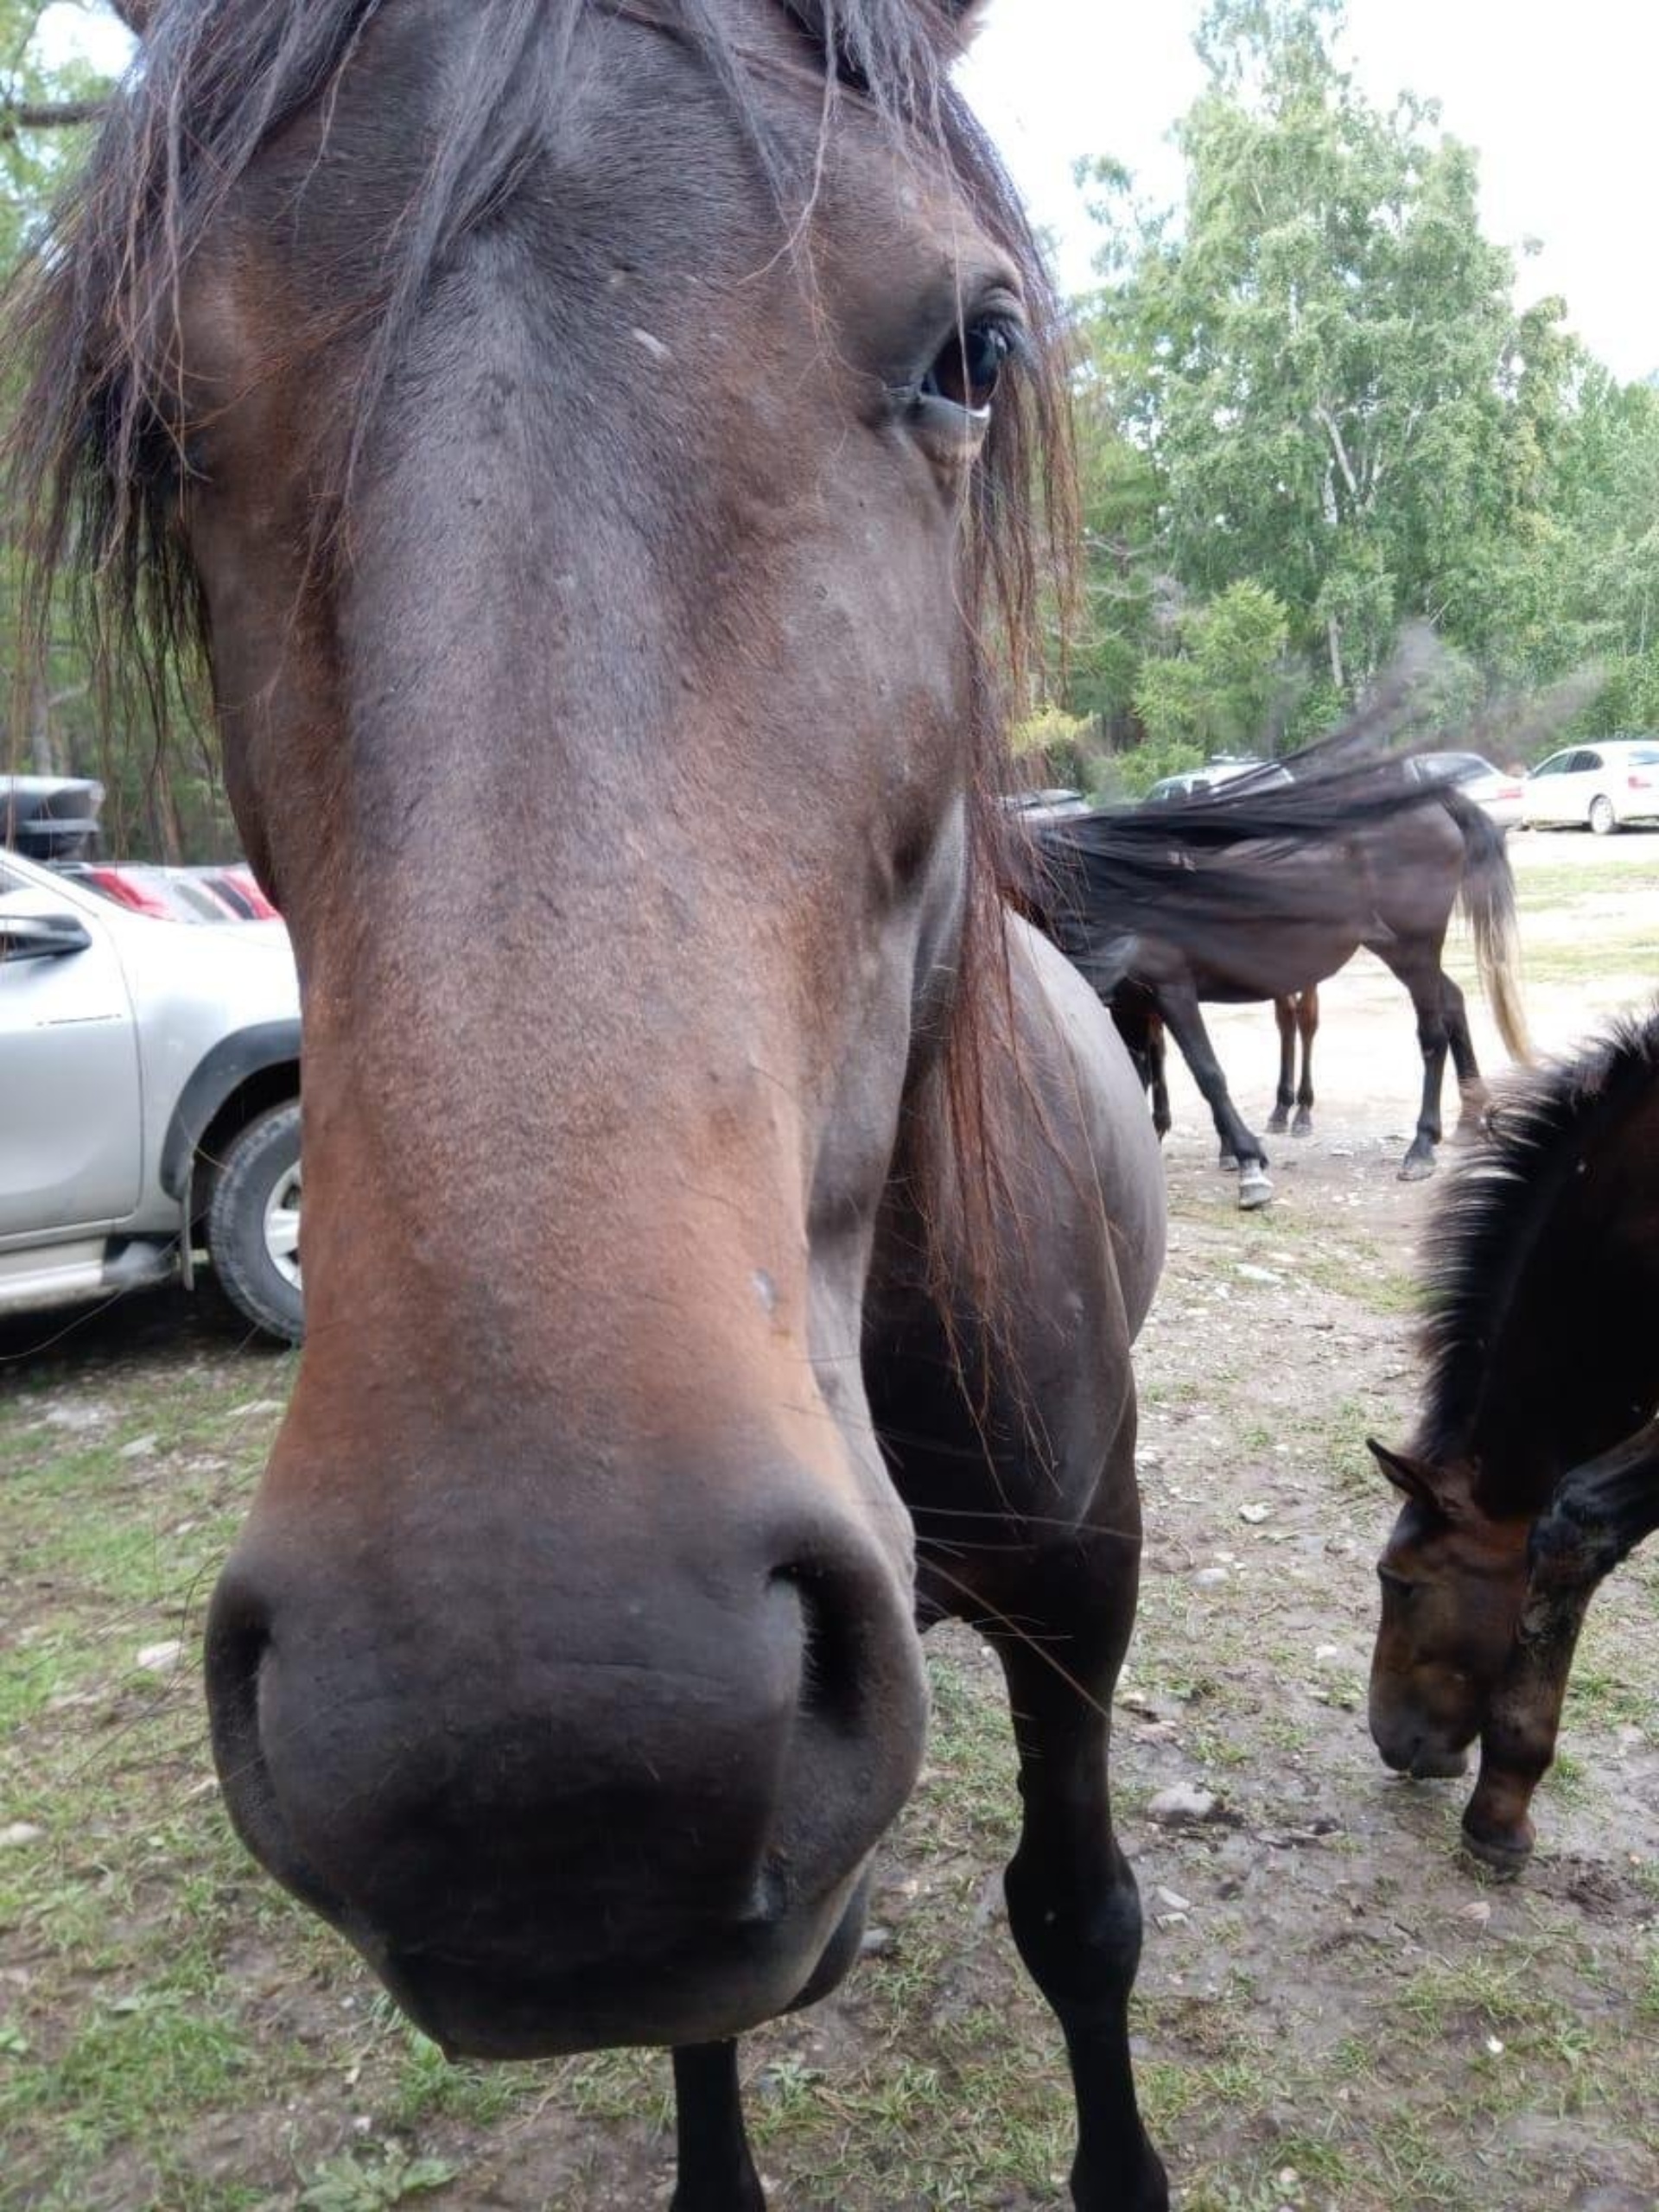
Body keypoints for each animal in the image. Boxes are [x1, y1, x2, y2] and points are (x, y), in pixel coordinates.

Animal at [3, 9, 1442, 2202]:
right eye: (147, 430)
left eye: (975, 349)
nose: (542, 1742)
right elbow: (705, 2032)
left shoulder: (1085, 1589)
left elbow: (1082, 1916)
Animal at [1065, 765, 1530, 1211]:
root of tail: (1432, 800)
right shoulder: (1127, 1003)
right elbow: (1133, 1072)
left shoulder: (1171, 988)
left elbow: (1207, 1072)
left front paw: (1248, 1165)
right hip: (1403, 954)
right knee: (1452, 1003)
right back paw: (1469, 1118)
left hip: (1414, 951)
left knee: (1432, 1037)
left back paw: (1421, 1146)